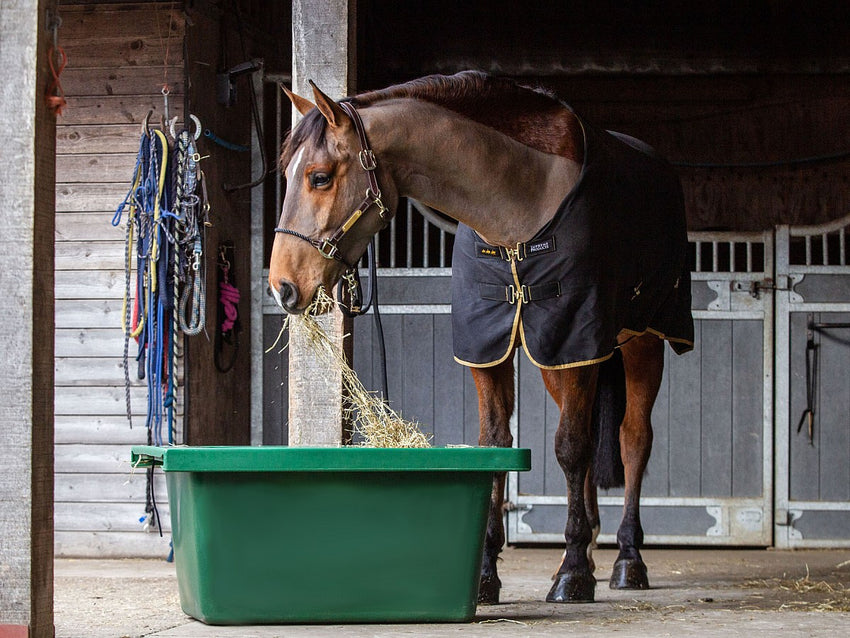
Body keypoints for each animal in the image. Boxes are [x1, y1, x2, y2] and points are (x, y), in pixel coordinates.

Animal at [268, 71, 692, 604]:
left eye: (320, 177)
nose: (282, 287)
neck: (517, 208)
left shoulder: (574, 339)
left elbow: (571, 448)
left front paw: (573, 573)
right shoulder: (493, 348)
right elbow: (495, 443)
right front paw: (487, 573)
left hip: (639, 342)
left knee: (633, 438)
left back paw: (626, 559)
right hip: (558, 360)